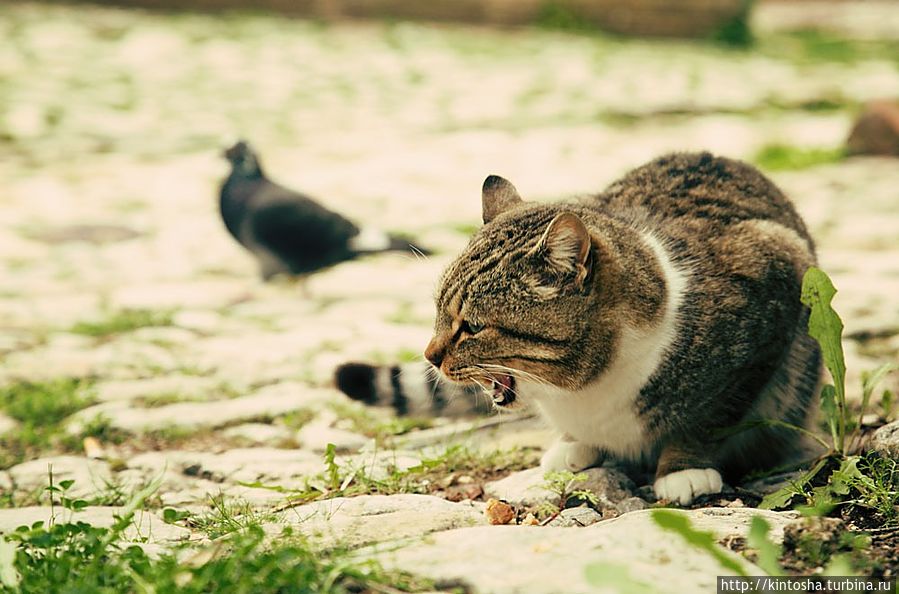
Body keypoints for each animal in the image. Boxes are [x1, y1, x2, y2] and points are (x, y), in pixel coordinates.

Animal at [334, 150, 820, 502]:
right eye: (437, 310)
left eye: (471, 327)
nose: (429, 355)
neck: (586, 389)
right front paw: (574, 443)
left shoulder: (774, 284)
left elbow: (711, 415)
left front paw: (684, 469)